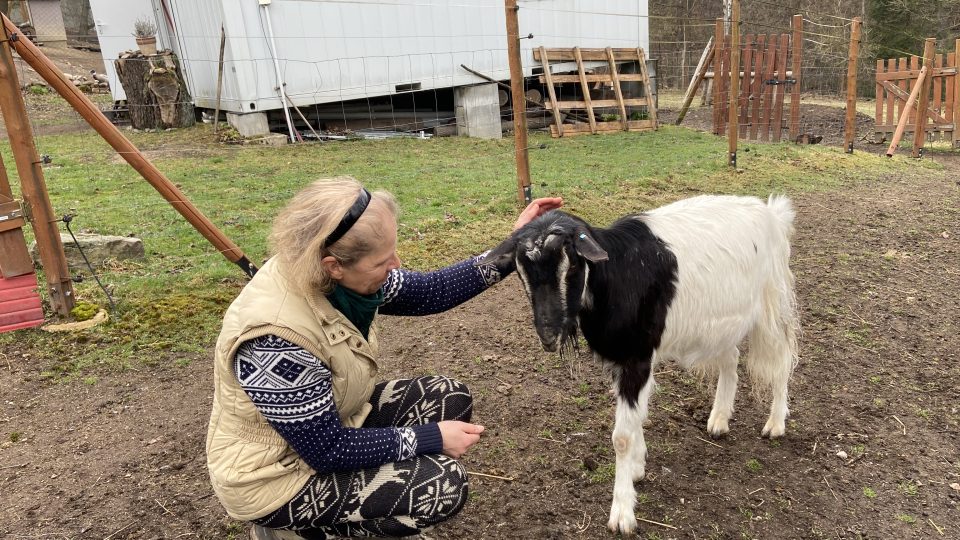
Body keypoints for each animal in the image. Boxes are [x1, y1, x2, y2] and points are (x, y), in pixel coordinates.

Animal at [484, 195, 800, 536]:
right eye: (521, 272)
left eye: (572, 266)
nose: (548, 334)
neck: (618, 276)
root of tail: (772, 212)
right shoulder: (623, 361)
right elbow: (636, 418)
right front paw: (637, 466)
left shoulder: (637, 358)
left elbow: (621, 436)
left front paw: (622, 512)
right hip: (723, 321)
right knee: (731, 359)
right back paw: (719, 419)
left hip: (771, 303)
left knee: (782, 360)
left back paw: (775, 424)